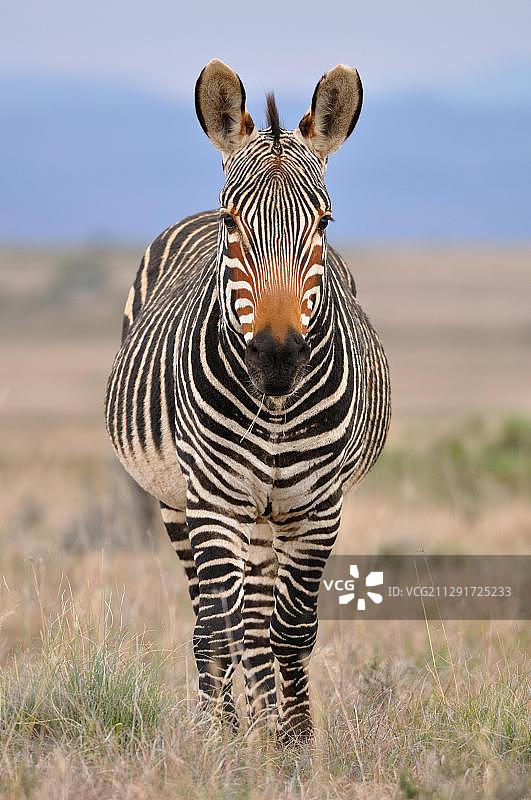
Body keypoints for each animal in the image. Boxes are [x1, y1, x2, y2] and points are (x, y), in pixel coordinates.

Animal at [105, 59, 390, 741]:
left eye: (323, 224)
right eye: (233, 223)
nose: (278, 357)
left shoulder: (318, 508)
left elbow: (292, 632)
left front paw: (295, 742)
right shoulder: (212, 500)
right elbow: (218, 626)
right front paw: (221, 741)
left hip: (266, 513)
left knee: (258, 621)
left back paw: (263, 721)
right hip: (180, 503)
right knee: (219, 622)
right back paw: (235, 725)